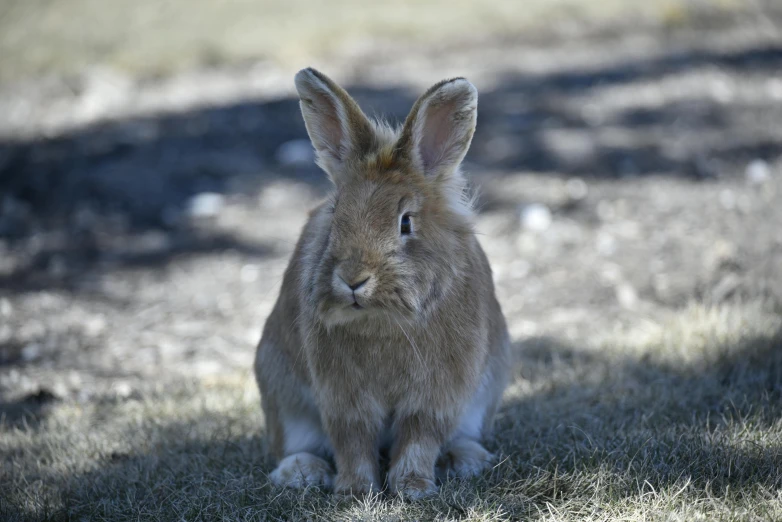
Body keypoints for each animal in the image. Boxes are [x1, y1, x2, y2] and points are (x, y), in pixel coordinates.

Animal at [258, 68, 512, 496]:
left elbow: (419, 437)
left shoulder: (436, 394)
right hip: (281, 395)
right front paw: (354, 490)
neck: (383, 319)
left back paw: (465, 459)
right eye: (335, 214)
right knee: (294, 444)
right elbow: (352, 441)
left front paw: (412, 487)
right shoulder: (343, 398)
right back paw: (303, 472)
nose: (352, 279)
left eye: (405, 222)